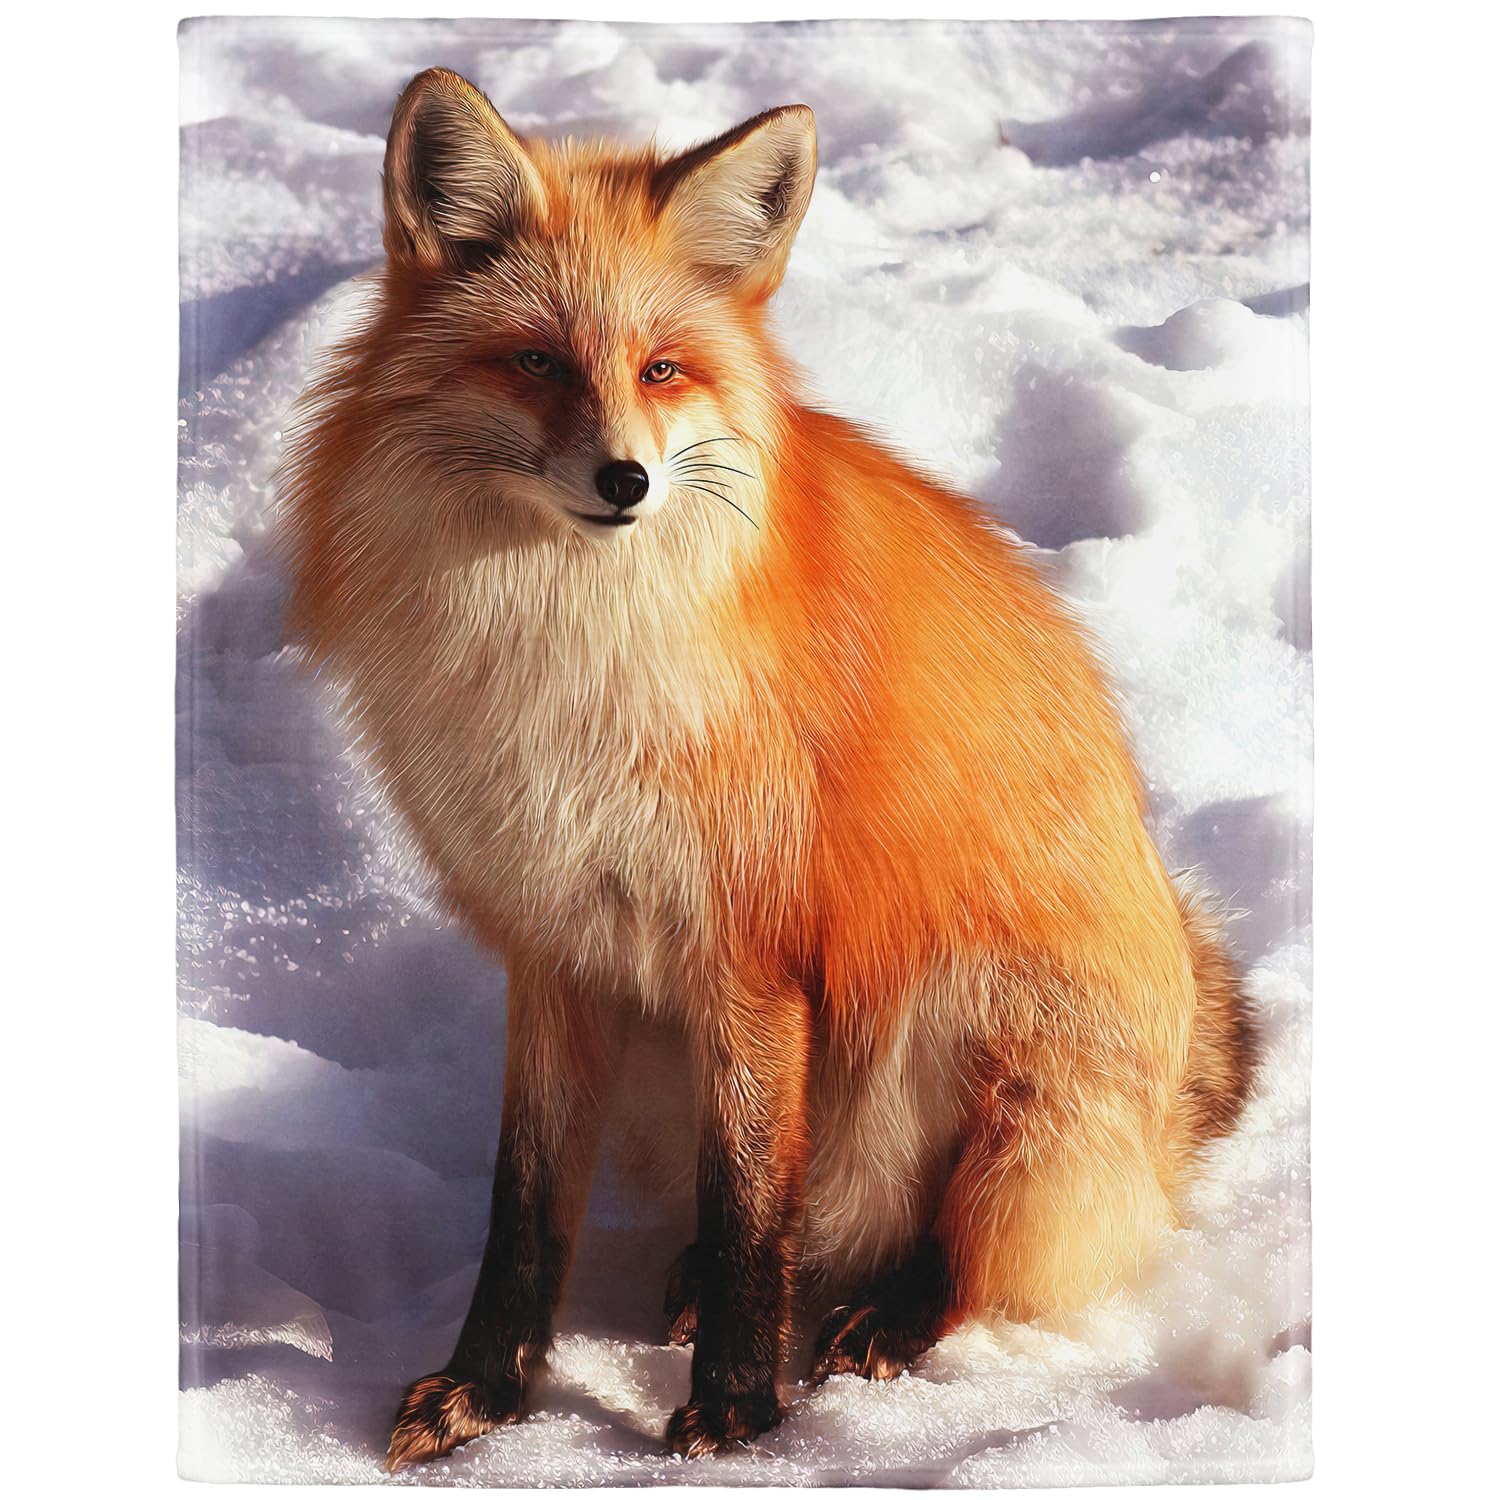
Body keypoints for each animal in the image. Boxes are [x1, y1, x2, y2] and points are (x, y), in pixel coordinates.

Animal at [279, 67, 1256, 1469]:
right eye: (537, 361)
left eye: (661, 368)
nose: (625, 479)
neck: (564, 654)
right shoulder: (554, 945)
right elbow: (524, 1213)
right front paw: (486, 1392)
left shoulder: (751, 947)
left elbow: (753, 1203)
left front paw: (739, 1411)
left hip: (964, 1035)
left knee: (971, 1248)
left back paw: (885, 1316)